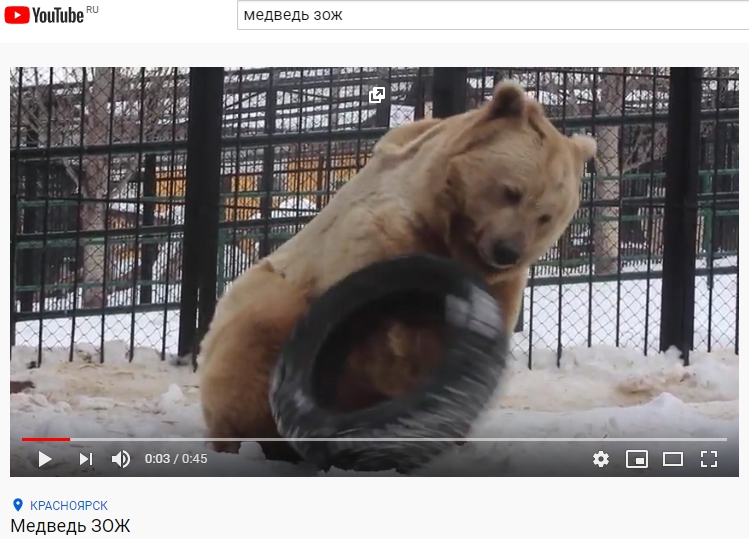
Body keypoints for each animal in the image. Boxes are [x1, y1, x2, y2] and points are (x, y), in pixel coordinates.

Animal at [197, 80, 597, 464]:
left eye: (545, 215)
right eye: (511, 191)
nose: (507, 250)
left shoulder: (500, 284)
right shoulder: (382, 235)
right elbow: (386, 329)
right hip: (266, 304)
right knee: (247, 349)